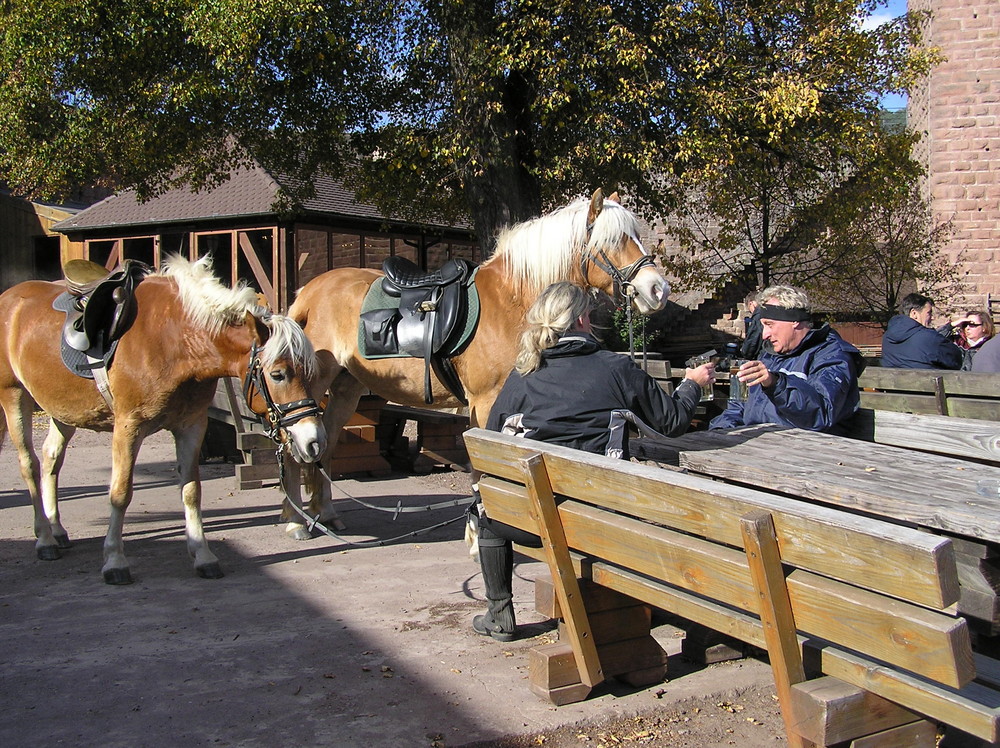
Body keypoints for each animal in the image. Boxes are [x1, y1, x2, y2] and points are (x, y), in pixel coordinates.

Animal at [0, 256, 326, 584]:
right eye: (278, 374)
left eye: (311, 371)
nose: (313, 441)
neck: (174, 339)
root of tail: (9, 298)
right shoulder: (128, 427)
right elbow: (120, 493)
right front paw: (115, 560)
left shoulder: (191, 425)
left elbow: (192, 490)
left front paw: (202, 554)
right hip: (14, 397)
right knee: (30, 464)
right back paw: (44, 538)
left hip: (62, 410)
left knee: (51, 458)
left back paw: (56, 529)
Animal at [284, 187, 672, 536]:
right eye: (614, 239)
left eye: (637, 236)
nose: (658, 290)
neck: (513, 298)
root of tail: (309, 291)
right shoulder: (486, 403)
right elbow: (485, 469)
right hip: (306, 388)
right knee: (295, 441)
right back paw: (295, 522)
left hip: (346, 387)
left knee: (325, 445)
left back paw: (326, 513)